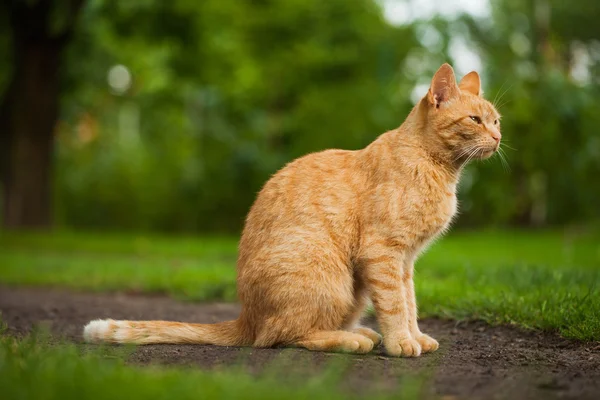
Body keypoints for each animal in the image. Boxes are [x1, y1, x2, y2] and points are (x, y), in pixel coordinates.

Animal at [83, 64, 502, 358]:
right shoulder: (384, 253)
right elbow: (396, 305)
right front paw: (401, 342)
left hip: (353, 289)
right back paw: (353, 341)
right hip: (329, 277)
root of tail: (246, 319)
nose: (499, 137)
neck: (439, 169)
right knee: (279, 338)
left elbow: (410, 302)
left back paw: (357, 331)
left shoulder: (406, 261)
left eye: (496, 120)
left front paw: (414, 336)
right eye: (475, 120)